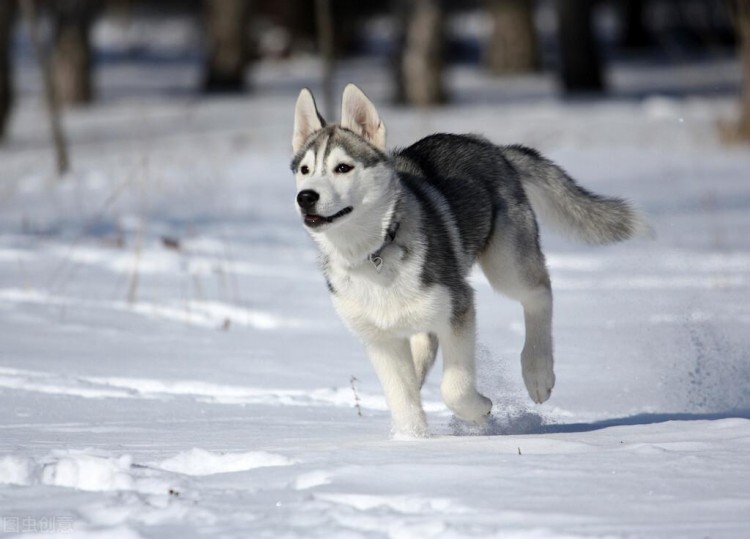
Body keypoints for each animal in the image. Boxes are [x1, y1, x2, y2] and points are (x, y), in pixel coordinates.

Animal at [290, 84, 648, 438]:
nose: (305, 197)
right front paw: (410, 441)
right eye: (305, 170)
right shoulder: (379, 339)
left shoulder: (458, 309)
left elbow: (455, 389)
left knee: (539, 292)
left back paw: (538, 372)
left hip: (506, 264)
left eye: (343, 168)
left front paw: (481, 412)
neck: (374, 251)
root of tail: (489, 146)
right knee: (423, 350)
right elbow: (403, 399)